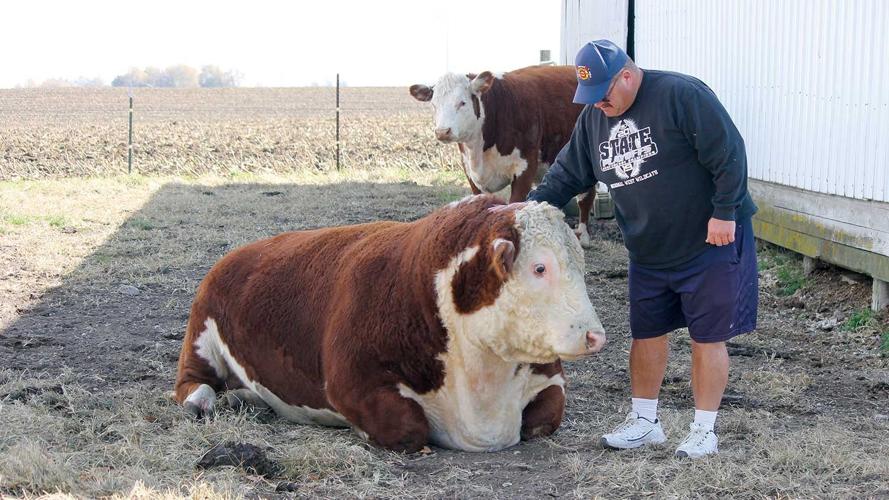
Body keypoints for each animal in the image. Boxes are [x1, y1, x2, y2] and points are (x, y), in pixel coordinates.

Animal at [174, 195, 606, 453]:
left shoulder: (547, 375)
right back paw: (207, 399)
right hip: (200, 335)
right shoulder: (351, 381)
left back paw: (243, 398)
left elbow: (546, 416)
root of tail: (232, 257)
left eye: (582, 265)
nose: (595, 335)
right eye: (540, 267)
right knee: (191, 385)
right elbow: (405, 427)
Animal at [410, 65, 598, 248]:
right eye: (434, 105)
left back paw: (583, 235)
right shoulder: (469, 170)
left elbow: (515, 203)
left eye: (462, 102)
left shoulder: (525, 166)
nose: (442, 132)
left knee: (586, 196)